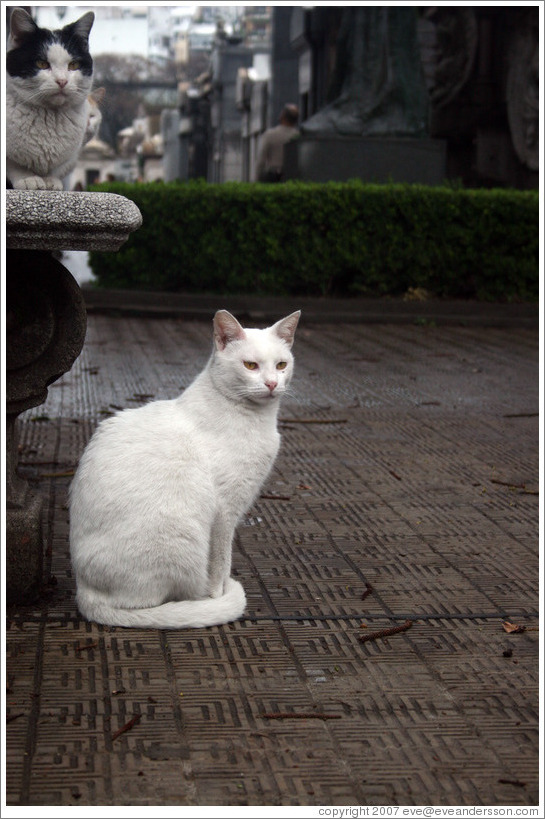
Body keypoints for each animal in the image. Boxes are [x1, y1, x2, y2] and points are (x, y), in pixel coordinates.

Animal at [6, 8, 98, 191]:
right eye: (41, 63)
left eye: (74, 65)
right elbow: (12, 164)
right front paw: (28, 178)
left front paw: (50, 180)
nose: (62, 81)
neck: (48, 117)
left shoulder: (70, 157)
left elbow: (56, 169)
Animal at [69, 310, 302, 632]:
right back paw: (200, 603)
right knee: (148, 603)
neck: (257, 419)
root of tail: (84, 592)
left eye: (281, 365)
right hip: (182, 536)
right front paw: (217, 595)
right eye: (250, 365)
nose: (271, 384)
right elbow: (221, 563)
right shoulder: (224, 513)